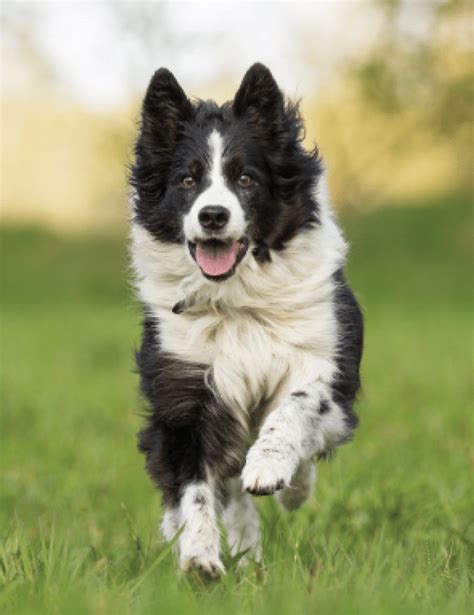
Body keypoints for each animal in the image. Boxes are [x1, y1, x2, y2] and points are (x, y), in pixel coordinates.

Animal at [130, 62, 362, 576]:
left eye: (246, 178)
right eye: (188, 181)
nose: (213, 216)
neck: (236, 299)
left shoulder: (327, 366)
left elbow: (295, 407)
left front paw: (271, 467)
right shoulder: (186, 390)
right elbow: (195, 486)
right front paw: (199, 556)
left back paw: (290, 488)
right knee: (226, 492)